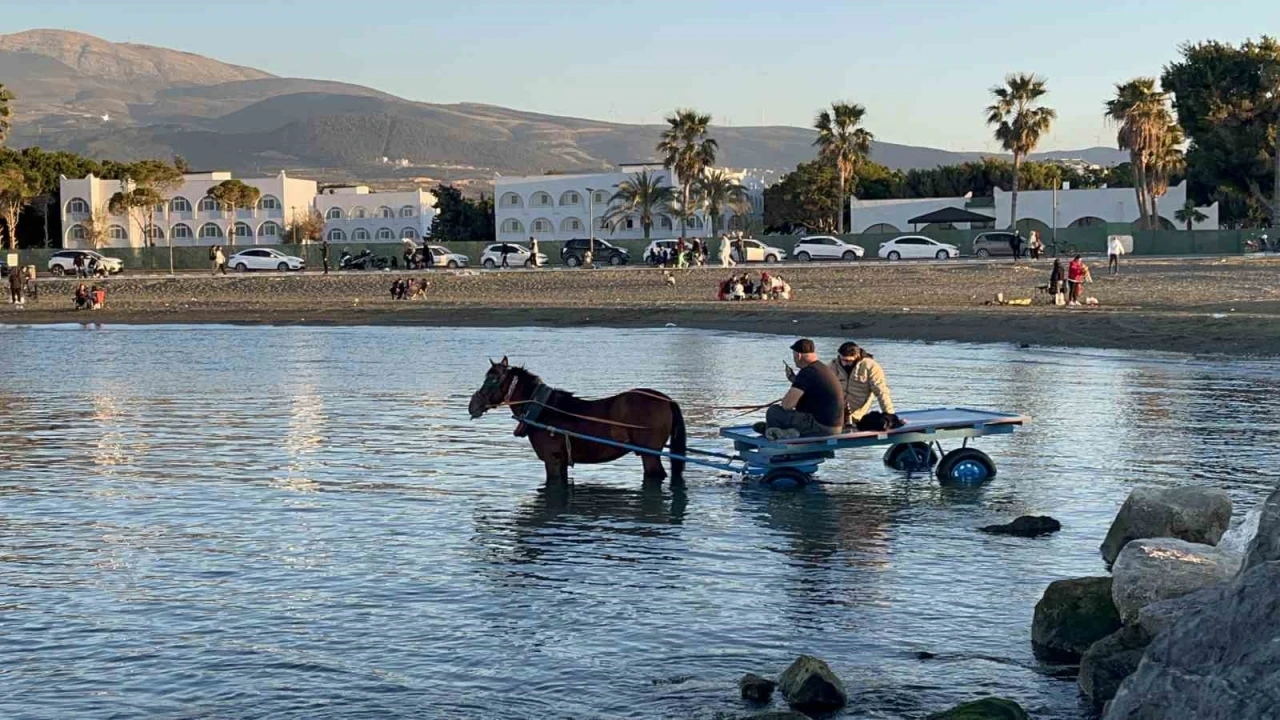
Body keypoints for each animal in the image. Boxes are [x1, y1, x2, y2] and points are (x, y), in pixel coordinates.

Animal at [468, 356, 691, 481]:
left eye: (492, 379)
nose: (473, 405)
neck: (543, 411)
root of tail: (667, 400)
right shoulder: (561, 464)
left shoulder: (552, 461)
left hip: (649, 454)